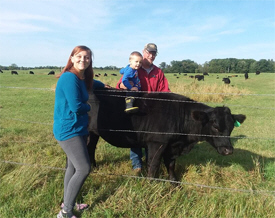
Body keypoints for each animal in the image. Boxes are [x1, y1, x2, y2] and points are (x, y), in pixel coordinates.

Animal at [87, 88, 247, 181]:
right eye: (215, 126)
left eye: (231, 128)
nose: (228, 150)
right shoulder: (156, 143)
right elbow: (153, 165)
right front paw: (150, 183)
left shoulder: (172, 146)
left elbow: (170, 164)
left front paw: (174, 182)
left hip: (93, 133)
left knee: (91, 148)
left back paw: (94, 167)